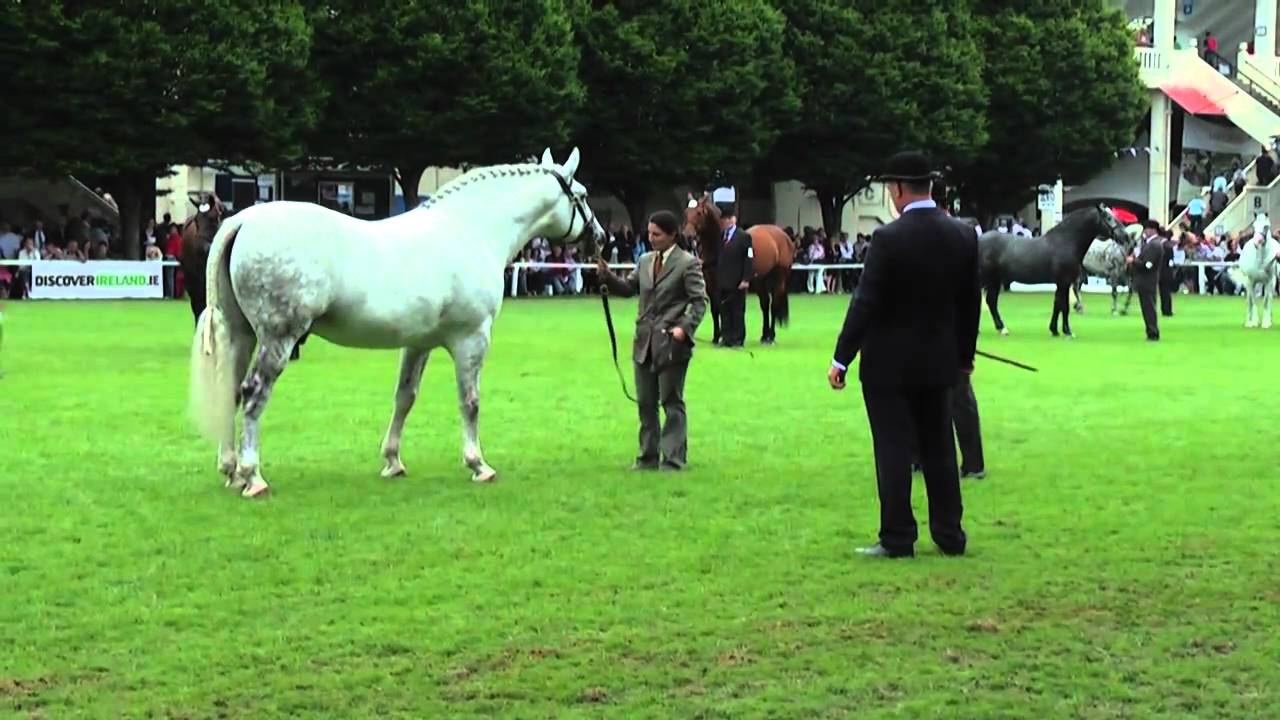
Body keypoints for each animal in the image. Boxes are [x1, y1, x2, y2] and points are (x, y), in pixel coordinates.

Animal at [188, 147, 605, 498]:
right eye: (583, 195)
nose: (600, 236)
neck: (468, 230)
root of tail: (243, 220)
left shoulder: (418, 343)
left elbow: (405, 397)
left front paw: (392, 461)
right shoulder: (472, 339)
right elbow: (470, 401)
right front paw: (478, 464)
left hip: (242, 335)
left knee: (231, 390)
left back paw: (231, 469)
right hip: (278, 338)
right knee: (254, 394)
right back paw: (253, 476)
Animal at [683, 192, 794, 345]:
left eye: (699, 213)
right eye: (686, 212)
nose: (687, 236)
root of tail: (782, 235)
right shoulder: (711, 284)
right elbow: (715, 309)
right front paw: (716, 337)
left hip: (779, 277)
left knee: (774, 305)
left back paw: (771, 336)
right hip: (760, 279)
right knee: (765, 304)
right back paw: (764, 336)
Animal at [978, 203, 1129, 338]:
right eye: (1108, 217)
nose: (1125, 236)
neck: (1065, 241)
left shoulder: (1061, 283)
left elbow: (1057, 305)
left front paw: (1055, 330)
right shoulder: (1064, 282)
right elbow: (1064, 306)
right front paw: (1068, 332)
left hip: (994, 280)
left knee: (991, 302)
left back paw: (1002, 329)